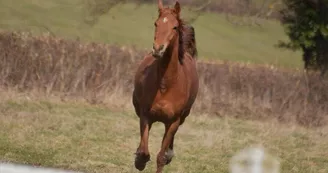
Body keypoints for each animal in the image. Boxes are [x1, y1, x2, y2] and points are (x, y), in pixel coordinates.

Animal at [131, 0, 199, 172]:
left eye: (175, 27)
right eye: (156, 23)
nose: (158, 48)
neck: (166, 84)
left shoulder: (173, 121)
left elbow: (161, 157)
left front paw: (166, 156)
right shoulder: (146, 115)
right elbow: (144, 152)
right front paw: (139, 161)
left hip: (182, 118)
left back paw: (170, 153)